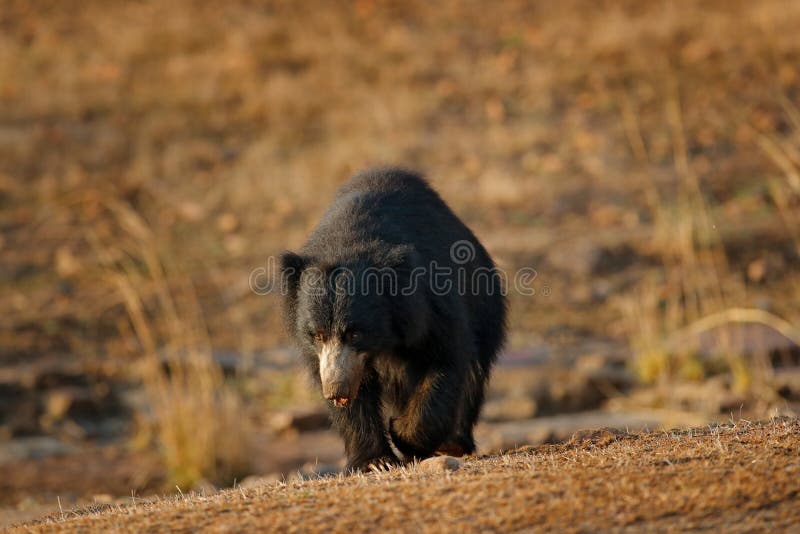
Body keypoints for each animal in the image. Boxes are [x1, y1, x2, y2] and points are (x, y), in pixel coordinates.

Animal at [282, 169, 506, 474]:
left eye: (355, 333)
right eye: (317, 335)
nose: (336, 390)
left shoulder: (431, 306)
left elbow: (444, 360)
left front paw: (404, 435)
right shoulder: (331, 359)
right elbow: (355, 397)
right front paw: (375, 461)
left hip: (484, 302)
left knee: (474, 372)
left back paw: (452, 443)